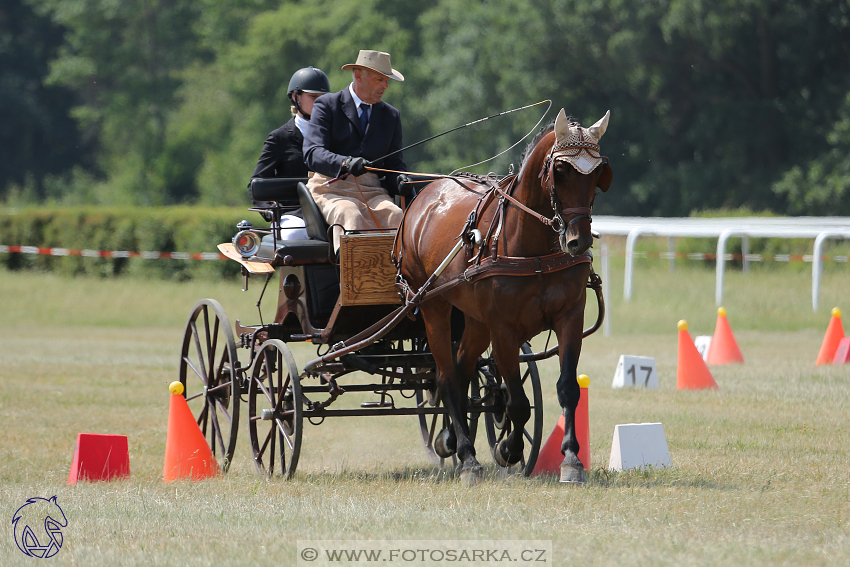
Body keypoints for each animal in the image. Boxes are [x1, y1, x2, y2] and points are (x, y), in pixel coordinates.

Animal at [394, 110, 608, 484]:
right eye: (561, 171)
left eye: (597, 173)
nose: (577, 241)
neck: (533, 248)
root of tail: (422, 197)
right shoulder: (504, 329)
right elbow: (518, 403)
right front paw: (508, 449)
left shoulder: (570, 316)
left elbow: (568, 388)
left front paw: (571, 460)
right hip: (434, 307)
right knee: (446, 378)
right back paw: (467, 458)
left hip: (475, 320)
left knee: (462, 369)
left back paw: (452, 440)